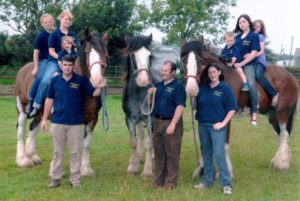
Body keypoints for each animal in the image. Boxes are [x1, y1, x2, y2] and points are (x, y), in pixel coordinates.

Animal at [120, 34, 158, 179]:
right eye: (132, 55)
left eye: (149, 55)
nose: (143, 80)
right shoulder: (130, 118)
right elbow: (133, 142)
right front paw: (132, 167)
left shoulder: (150, 118)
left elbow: (149, 142)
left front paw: (147, 171)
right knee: (141, 135)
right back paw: (138, 158)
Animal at [179, 38, 298, 177]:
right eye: (183, 60)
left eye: (201, 61)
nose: (191, 89)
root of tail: (291, 76)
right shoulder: (203, 118)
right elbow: (204, 145)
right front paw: (201, 170)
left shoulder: (225, 119)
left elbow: (224, 145)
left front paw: (226, 172)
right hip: (272, 115)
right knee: (280, 135)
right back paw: (278, 161)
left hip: (282, 113)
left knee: (284, 135)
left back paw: (282, 164)